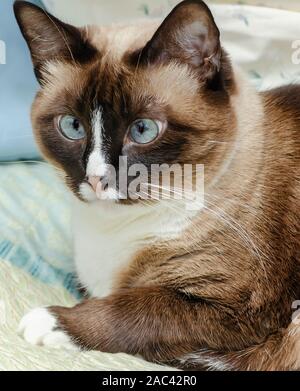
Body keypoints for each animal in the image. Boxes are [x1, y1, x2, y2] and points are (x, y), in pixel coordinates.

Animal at [12, 0, 298, 372]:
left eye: (143, 130)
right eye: (72, 126)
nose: (97, 178)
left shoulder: (232, 309)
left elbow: (132, 308)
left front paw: (52, 322)